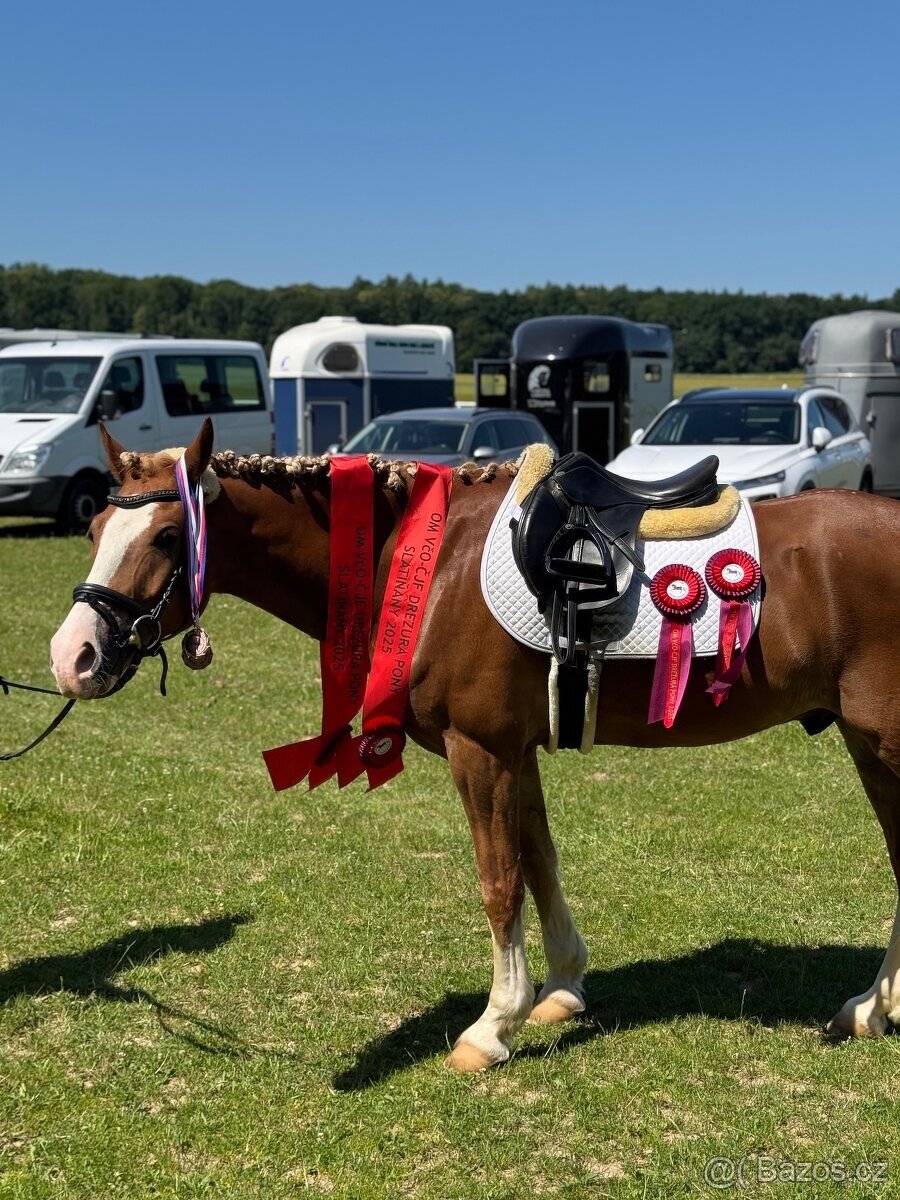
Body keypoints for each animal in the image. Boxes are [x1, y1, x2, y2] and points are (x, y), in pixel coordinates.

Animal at [48, 418, 900, 1071]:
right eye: (92, 530)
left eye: (168, 534)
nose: (72, 657)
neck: (425, 561)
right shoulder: (515, 750)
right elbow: (539, 862)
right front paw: (561, 989)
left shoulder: (479, 750)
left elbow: (500, 883)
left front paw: (494, 1026)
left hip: (881, 745)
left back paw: (868, 1007)